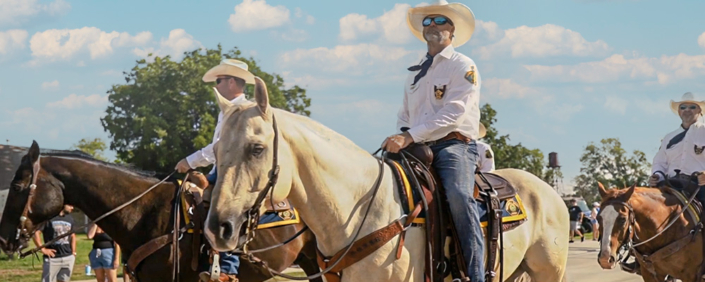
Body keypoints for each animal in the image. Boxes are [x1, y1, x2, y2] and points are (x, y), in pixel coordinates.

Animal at [205, 77, 572, 282]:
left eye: (256, 148)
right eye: (217, 149)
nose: (218, 228)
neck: (356, 213)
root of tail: (550, 194)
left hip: (549, 272)